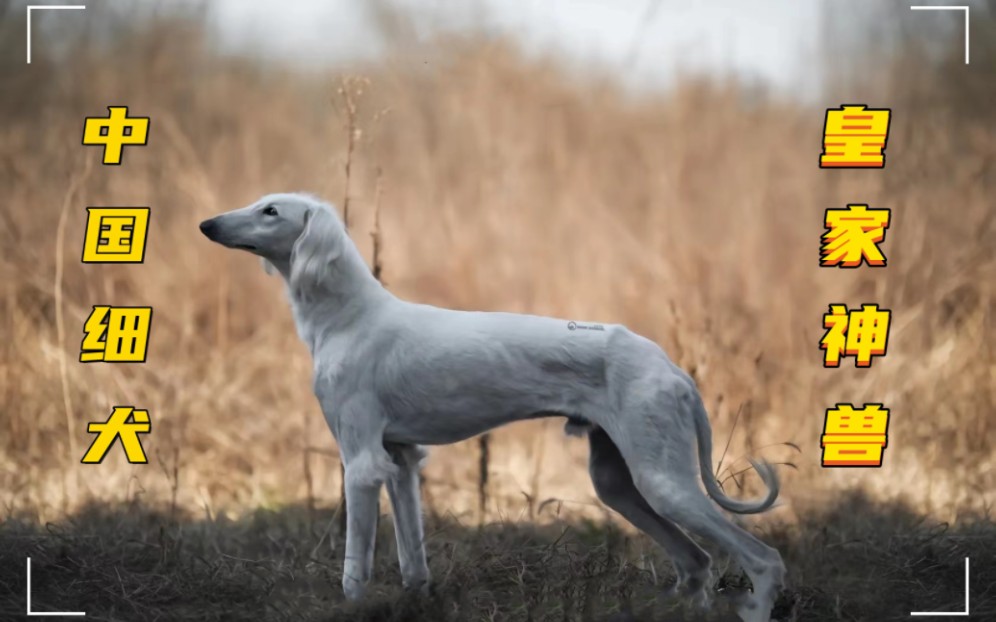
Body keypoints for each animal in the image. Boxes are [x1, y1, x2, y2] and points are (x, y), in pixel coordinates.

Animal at [196, 193, 784, 620]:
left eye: (271, 211)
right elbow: (412, 555)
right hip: (619, 482)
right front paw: (417, 599)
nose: (206, 225)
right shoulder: (400, 460)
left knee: (763, 559)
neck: (348, 317)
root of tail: (671, 367)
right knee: (697, 560)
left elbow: (354, 567)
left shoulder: (361, 463)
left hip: (662, 480)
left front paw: (354, 606)